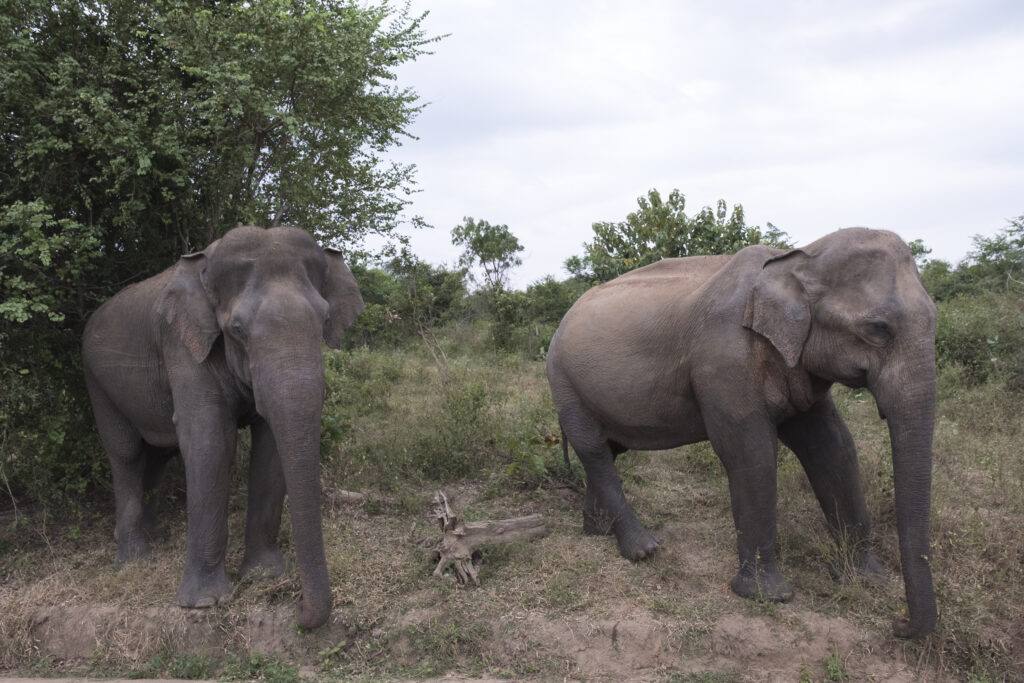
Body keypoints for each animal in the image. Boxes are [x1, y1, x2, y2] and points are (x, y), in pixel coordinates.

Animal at [82, 225, 363, 630]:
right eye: (237, 329)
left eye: (323, 321)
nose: (296, 605)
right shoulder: (182, 345)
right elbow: (210, 440)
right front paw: (204, 604)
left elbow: (270, 443)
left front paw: (264, 577)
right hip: (96, 380)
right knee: (127, 454)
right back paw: (135, 559)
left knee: (158, 454)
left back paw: (157, 537)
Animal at [546, 228, 938, 638]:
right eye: (878, 329)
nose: (898, 624)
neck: (796, 256)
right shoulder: (724, 361)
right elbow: (752, 456)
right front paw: (770, 596)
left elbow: (833, 448)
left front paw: (865, 578)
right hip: (563, 381)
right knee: (594, 450)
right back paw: (644, 550)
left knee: (606, 451)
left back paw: (597, 533)